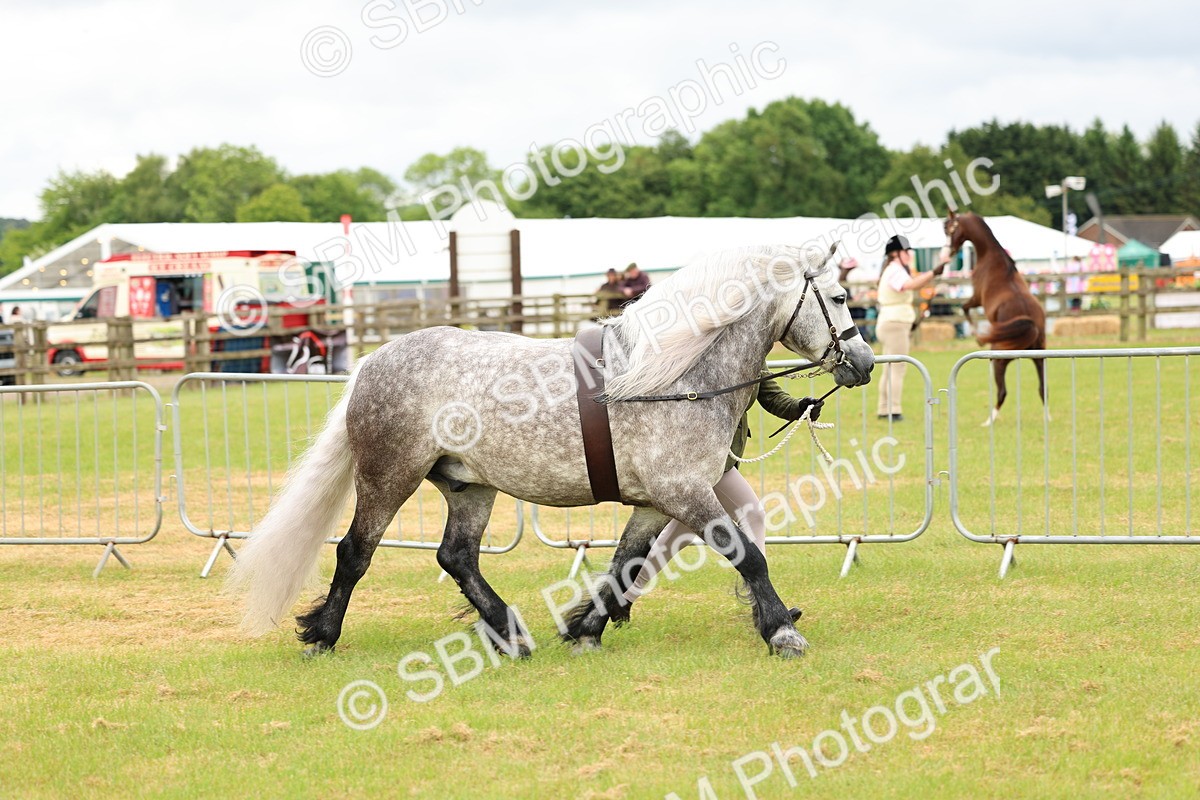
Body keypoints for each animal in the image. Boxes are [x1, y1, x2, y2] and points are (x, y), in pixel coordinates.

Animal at [227, 243, 875, 659]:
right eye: (841, 296)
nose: (864, 363)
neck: (675, 373)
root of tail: (371, 362)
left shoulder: (656, 503)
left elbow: (626, 564)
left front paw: (586, 627)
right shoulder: (685, 493)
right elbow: (748, 556)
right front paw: (781, 632)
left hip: (469, 487)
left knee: (457, 557)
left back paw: (510, 633)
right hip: (389, 478)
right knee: (355, 552)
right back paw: (322, 636)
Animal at [945, 210, 1047, 426]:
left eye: (950, 228)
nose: (950, 251)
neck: (991, 256)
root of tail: (1031, 323)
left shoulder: (976, 298)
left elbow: (964, 308)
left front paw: (976, 335)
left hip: (999, 360)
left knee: (1002, 392)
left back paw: (988, 421)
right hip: (1040, 358)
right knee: (1043, 388)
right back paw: (1047, 418)